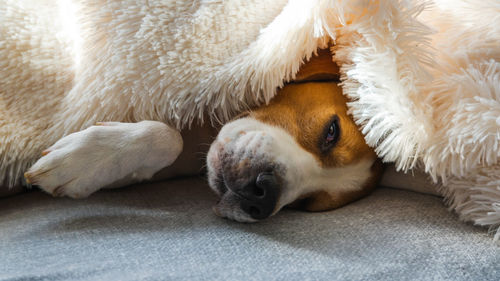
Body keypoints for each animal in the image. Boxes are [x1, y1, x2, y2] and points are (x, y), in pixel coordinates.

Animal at [21, 47, 382, 219]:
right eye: (331, 132)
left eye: (306, 205)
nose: (263, 196)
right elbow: (171, 136)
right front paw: (83, 156)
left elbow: (172, 139)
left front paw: (86, 166)